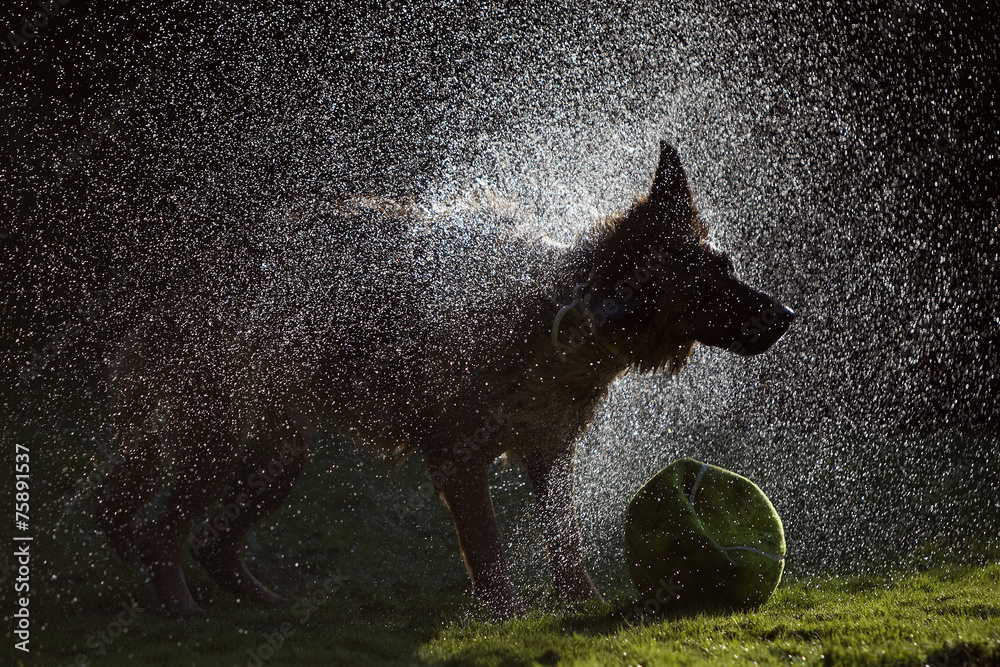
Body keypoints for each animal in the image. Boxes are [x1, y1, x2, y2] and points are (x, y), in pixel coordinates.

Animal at [95, 141, 796, 616]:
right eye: (707, 284)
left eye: (726, 264)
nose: (787, 316)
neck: (556, 314)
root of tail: (190, 280)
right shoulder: (459, 456)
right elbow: (489, 550)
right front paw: (507, 618)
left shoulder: (548, 452)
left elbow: (566, 546)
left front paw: (584, 608)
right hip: (218, 442)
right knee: (161, 533)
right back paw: (184, 613)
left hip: (276, 453)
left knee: (211, 542)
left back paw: (266, 604)